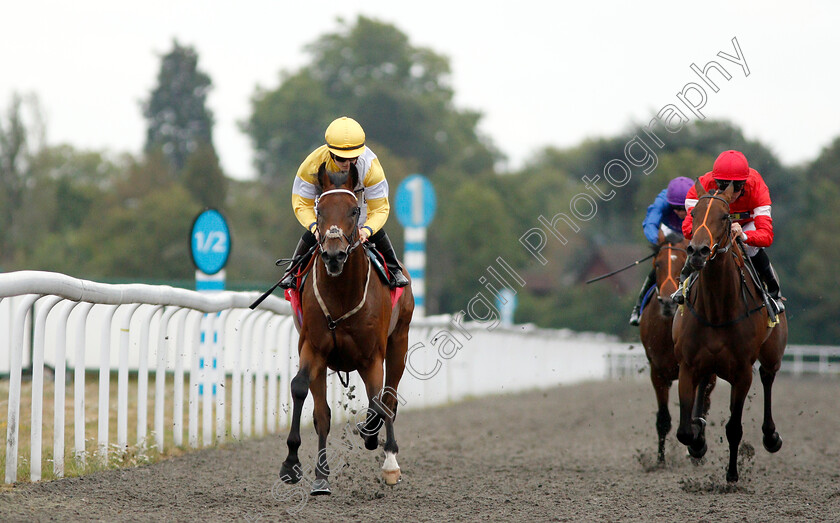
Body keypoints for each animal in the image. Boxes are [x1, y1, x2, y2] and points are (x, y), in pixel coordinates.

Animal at [278, 164, 416, 496]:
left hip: (399, 343)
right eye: (320, 209)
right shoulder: (312, 347)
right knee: (323, 413)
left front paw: (370, 436)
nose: (333, 254)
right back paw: (321, 475)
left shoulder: (372, 356)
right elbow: (302, 391)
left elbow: (378, 403)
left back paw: (389, 462)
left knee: (388, 400)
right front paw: (293, 465)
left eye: (354, 210)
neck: (341, 295)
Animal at [644, 229, 716, 462]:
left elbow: (695, 410)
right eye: (657, 264)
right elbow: (663, 419)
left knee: (703, 407)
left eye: (681, 263)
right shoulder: (657, 372)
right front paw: (660, 460)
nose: (667, 302)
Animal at [672, 180, 784, 484]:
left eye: (724, 217)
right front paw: (697, 440)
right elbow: (684, 431)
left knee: (768, 379)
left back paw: (771, 436)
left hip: (772, 355)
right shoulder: (687, 364)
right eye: (694, 214)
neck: (717, 310)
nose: (698, 251)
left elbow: (734, 427)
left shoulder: (742, 372)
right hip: (706, 364)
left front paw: (732, 474)